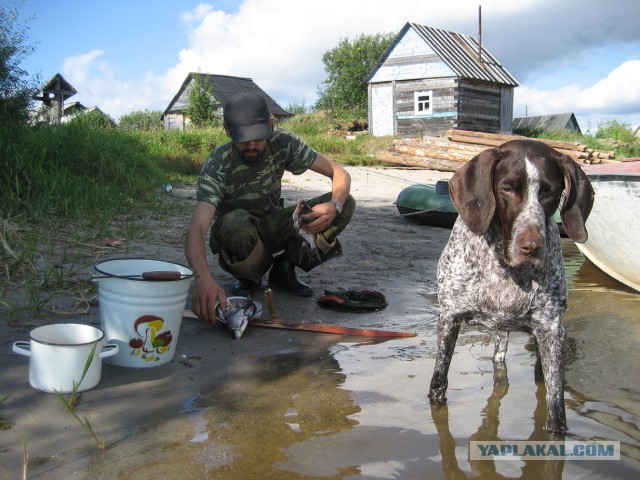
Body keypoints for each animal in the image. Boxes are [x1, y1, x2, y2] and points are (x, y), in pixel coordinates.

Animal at [430, 139, 596, 436]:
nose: (531, 247)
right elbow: (438, 381)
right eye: (507, 188)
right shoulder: (450, 317)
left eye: (550, 192)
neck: (505, 268)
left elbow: (555, 404)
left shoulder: (551, 331)